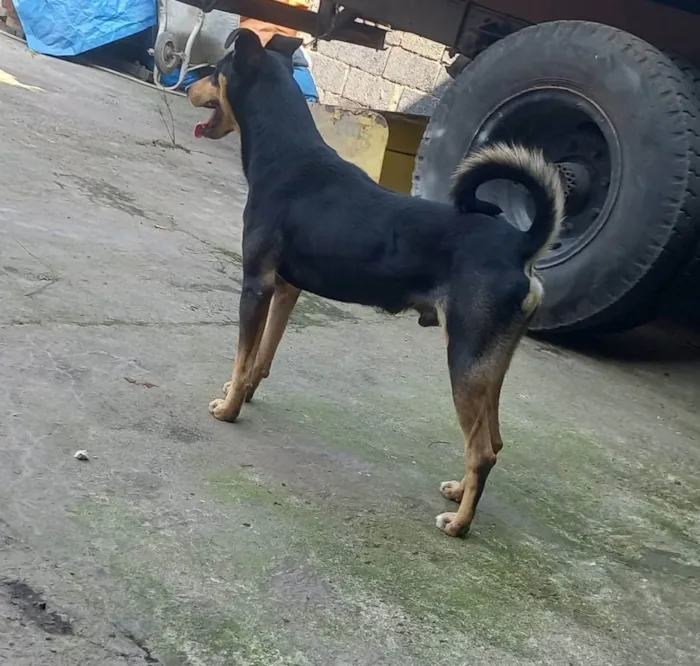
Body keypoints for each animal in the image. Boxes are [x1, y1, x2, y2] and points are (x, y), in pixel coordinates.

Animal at [189, 29, 568, 536]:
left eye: (215, 73)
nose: (191, 82)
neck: (285, 154)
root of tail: (521, 244)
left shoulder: (257, 284)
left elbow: (242, 353)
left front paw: (229, 408)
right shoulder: (286, 289)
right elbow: (261, 357)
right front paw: (246, 393)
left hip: (464, 357)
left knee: (483, 451)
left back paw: (459, 524)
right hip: (490, 362)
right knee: (494, 439)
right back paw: (459, 491)